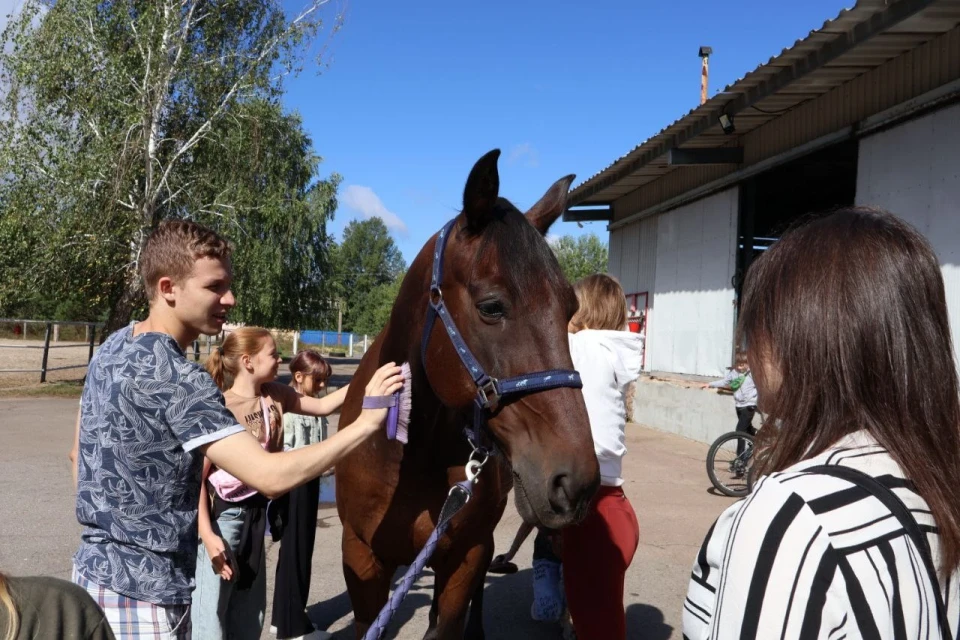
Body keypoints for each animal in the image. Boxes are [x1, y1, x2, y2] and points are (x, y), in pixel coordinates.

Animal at [334, 150, 596, 640]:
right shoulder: (361, 559)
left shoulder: (464, 557)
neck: (407, 455)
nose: (576, 483)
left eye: (569, 308)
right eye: (491, 306)